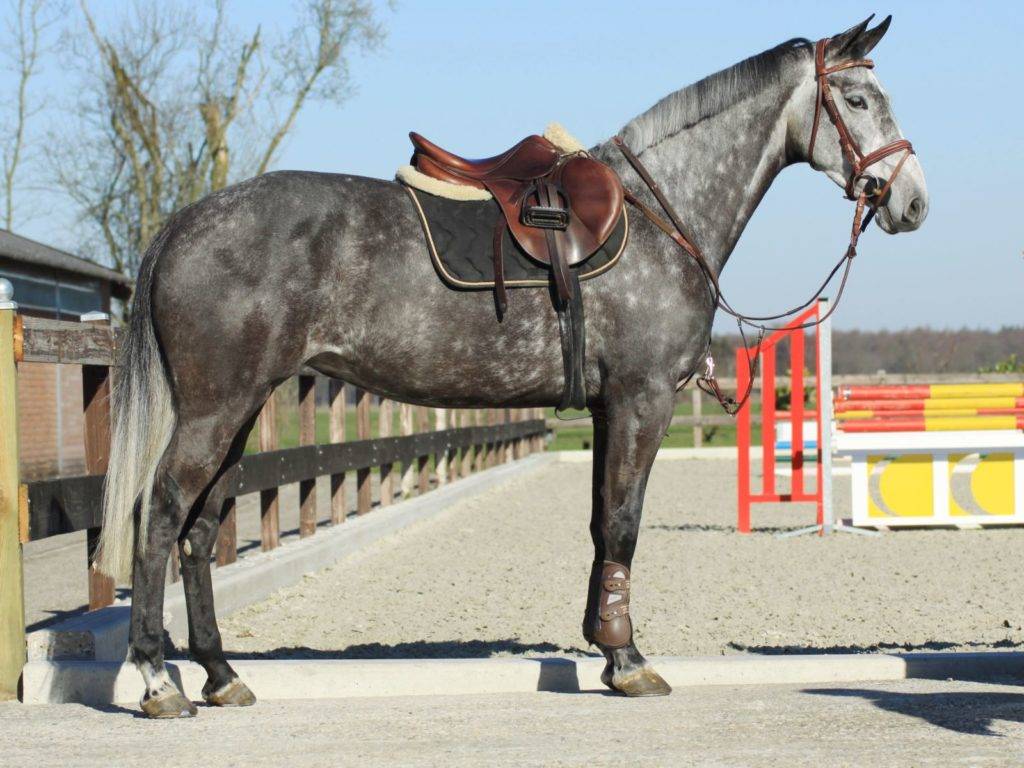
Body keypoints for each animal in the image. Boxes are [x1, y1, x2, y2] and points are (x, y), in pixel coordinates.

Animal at [95, 15, 928, 717]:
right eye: (857, 98)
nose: (912, 202)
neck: (660, 214)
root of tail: (185, 222)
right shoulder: (643, 399)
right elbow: (624, 524)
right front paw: (629, 662)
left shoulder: (607, 407)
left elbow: (600, 523)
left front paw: (606, 650)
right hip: (216, 408)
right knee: (161, 515)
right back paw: (158, 681)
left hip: (240, 411)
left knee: (200, 531)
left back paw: (220, 675)